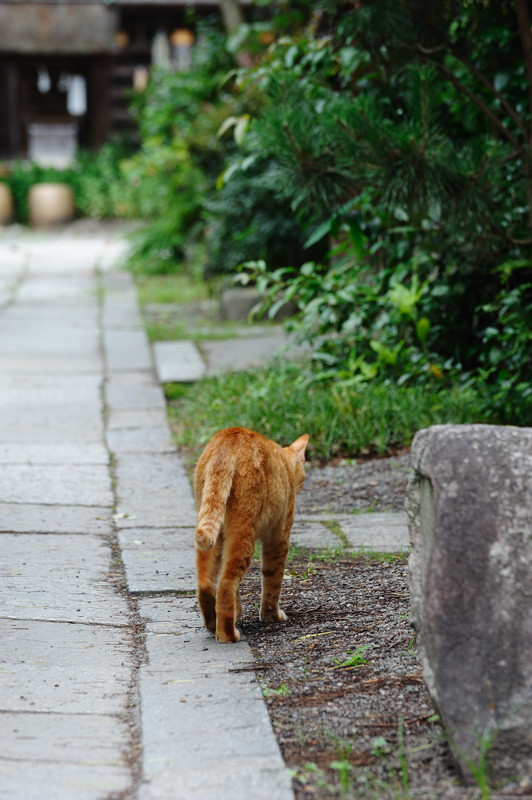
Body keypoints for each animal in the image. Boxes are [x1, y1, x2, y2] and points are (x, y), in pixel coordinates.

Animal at [194, 424, 308, 644]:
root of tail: (229, 440)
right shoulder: (278, 538)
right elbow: (272, 580)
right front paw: (271, 616)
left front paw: (238, 613)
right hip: (244, 533)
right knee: (226, 584)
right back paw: (228, 635)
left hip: (213, 534)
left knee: (206, 583)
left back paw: (213, 624)